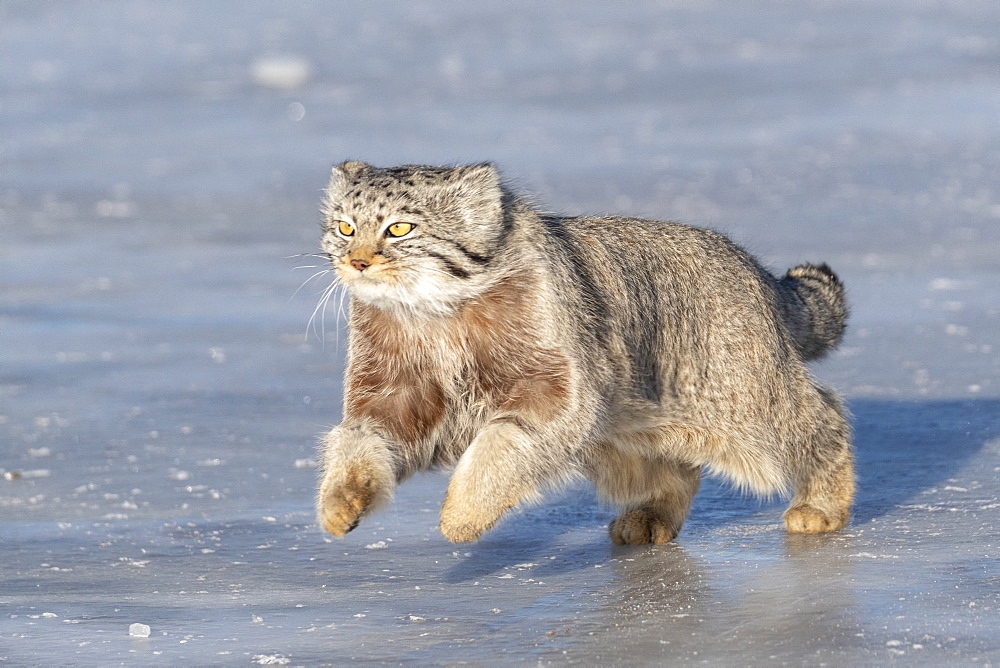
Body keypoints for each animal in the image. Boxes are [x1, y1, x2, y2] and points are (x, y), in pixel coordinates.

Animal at [312, 160, 852, 544]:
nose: (356, 262)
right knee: (674, 466)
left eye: (399, 229)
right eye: (344, 228)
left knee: (821, 416)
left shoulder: (556, 390)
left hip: (744, 401)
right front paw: (340, 499)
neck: (434, 312)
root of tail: (757, 271)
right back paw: (651, 515)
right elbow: (359, 440)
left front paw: (463, 514)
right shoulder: (396, 393)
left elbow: (501, 444)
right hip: (635, 421)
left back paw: (823, 505)